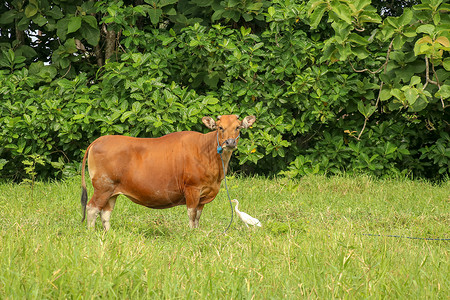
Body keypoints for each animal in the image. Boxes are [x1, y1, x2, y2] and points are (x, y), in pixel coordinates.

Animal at [81, 114, 256, 230]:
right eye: (220, 127)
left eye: (238, 127)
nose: (230, 142)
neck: (207, 152)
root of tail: (99, 140)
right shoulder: (192, 189)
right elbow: (191, 215)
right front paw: (191, 233)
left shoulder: (204, 194)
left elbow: (198, 216)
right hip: (103, 187)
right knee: (92, 208)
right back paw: (91, 232)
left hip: (112, 190)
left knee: (105, 213)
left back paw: (108, 233)